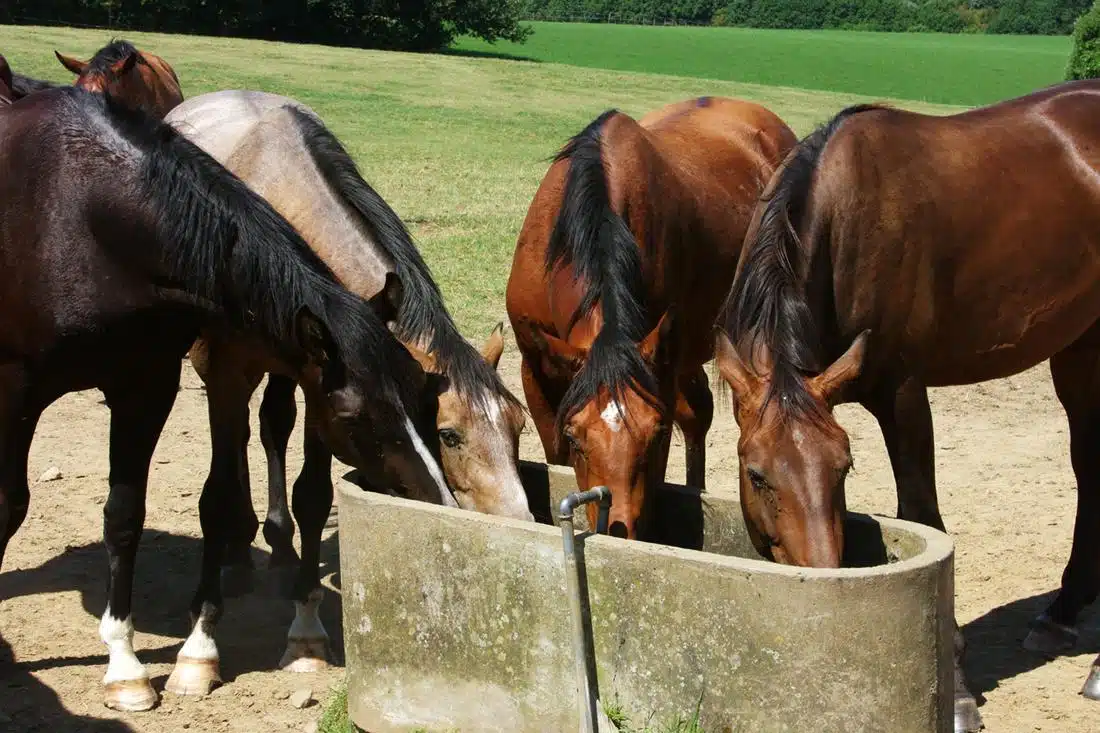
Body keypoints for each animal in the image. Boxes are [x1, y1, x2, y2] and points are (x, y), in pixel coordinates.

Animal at [0, 84, 455, 708]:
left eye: (423, 398)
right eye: (354, 416)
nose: (438, 503)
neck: (84, 221)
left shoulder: (146, 386)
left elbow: (126, 516)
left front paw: (128, 667)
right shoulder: (17, 391)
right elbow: (10, 507)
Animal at [712, 79, 1100, 730]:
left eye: (844, 468)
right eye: (757, 474)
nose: (822, 580)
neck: (845, 222)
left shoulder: (903, 394)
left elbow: (921, 512)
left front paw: (959, 688)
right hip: (1077, 345)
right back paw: (1064, 613)